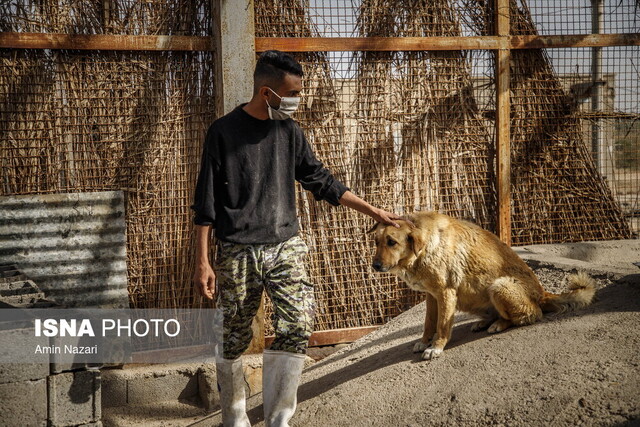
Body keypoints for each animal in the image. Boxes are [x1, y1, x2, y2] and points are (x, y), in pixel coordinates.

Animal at [370, 212, 596, 360]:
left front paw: (436, 347)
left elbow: (442, 325)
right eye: (376, 241)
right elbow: (429, 322)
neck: (424, 247)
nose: (375, 266)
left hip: (499, 286)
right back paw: (484, 322)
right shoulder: (431, 296)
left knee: (530, 315)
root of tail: (542, 294)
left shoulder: (445, 293)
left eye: (392, 242)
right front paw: (425, 341)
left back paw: (499, 324)